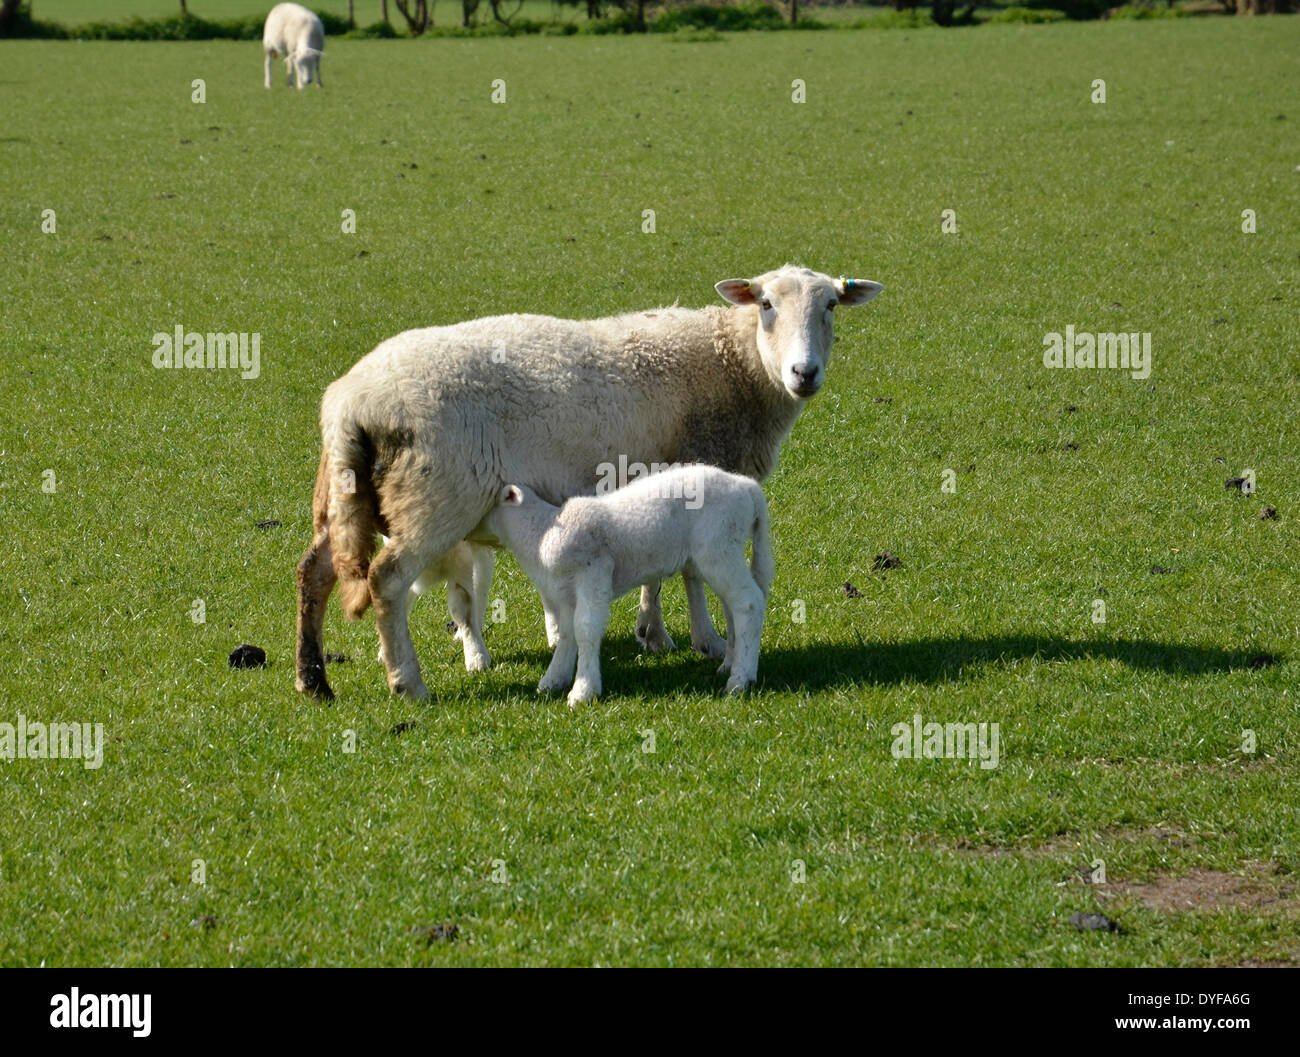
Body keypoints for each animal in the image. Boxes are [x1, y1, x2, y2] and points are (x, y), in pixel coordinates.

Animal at [486, 465, 769, 707]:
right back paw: (729, 664)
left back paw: (741, 679)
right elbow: (566, 634)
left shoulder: (594, 572)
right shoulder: (565, 593)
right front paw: (554, 679)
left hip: (718, 547)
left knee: (749, 603)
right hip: (723, 552)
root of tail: (748, 488)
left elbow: (586, 628)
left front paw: (584, 690)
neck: (541, 532)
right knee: (732, 609)